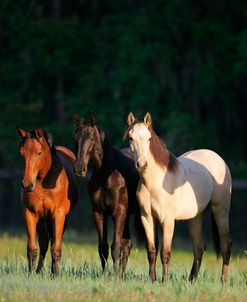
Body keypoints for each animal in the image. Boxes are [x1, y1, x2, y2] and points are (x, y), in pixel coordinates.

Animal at [17, 127, 78, 276]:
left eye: (39, 153)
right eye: (22, 153)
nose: (27, 184)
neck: (44, 183)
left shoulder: (59, 215)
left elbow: (56, 248)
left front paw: (56, 275)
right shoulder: (30, 213)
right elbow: (32, 248)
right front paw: (30, 275)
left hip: (59, 218)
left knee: (52, 243)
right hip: (42, 218)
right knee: (44, 242)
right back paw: (39, 271)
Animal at [72, 112, 144, 274]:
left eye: (92, 137)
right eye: (75, 137)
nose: (79, 169)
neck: (107, 174)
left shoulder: (118, 212)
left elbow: (115, 246)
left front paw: (114, 276)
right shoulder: (99, 213)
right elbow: (103, 247)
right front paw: (106, 275)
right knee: (127, 244)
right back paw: (122, 274)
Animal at [124, 112, 233, 282]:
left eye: (149, 138)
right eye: (131, 137)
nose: (142, 165)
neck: (154, 183)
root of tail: (218, 159)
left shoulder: (168, 220)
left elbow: (165, 252)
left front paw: (164, 281)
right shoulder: (147, 218)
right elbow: (151, 250)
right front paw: (153, 280)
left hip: (220, 211)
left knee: (225, 245)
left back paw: (223, 280)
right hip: (195, 217)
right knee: (199, 247)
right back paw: (192, 280)